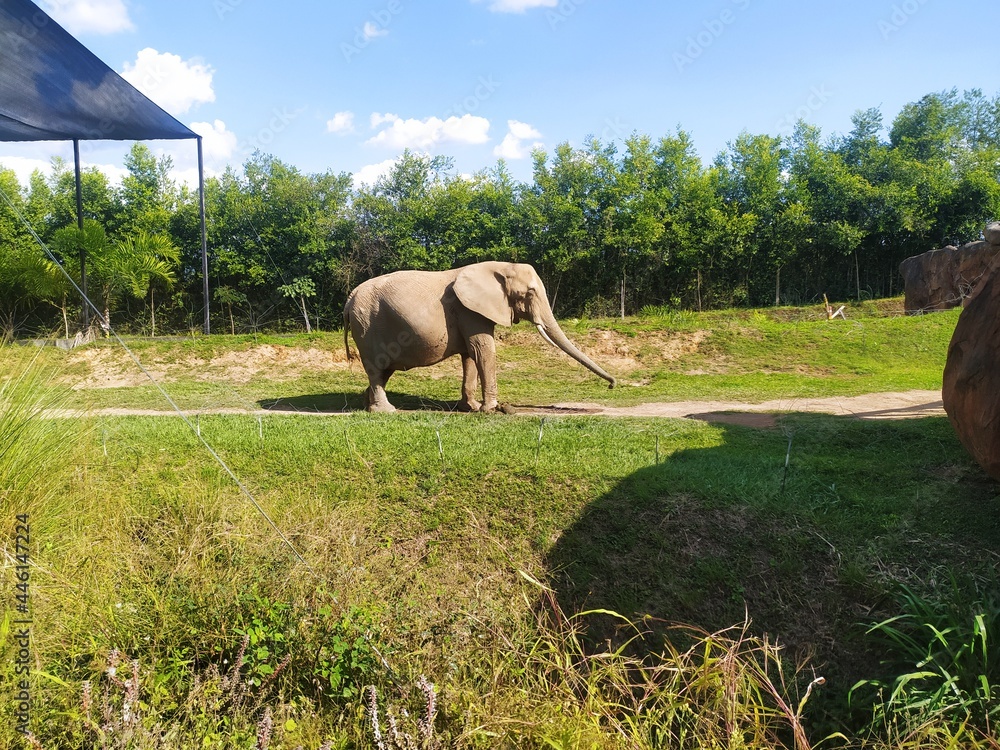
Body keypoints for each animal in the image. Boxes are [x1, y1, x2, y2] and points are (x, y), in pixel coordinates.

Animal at [343, 261, 616, 412]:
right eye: (529, 293)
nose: (612, 385)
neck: (501, 267)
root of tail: (349, 300)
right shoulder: (468, 310)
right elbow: (483, 349)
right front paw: (491, 409)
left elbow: (470, 355)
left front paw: (471, 408)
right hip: (367, 326)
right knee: (377, 367)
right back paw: (385, 411)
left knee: (383, 370)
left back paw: (367, 406)